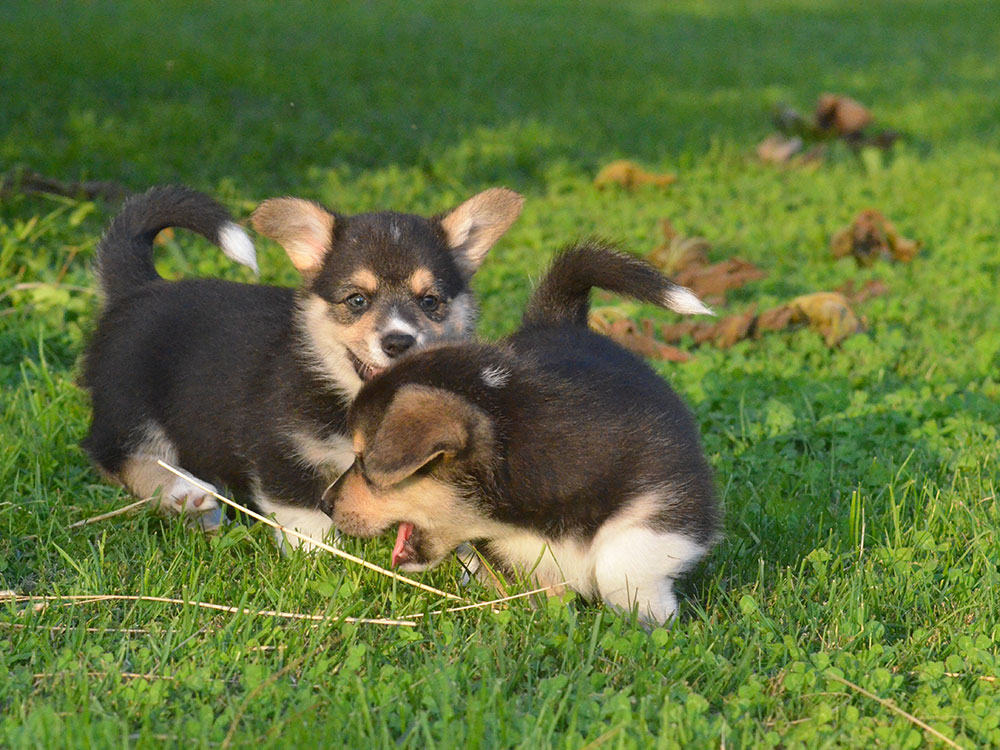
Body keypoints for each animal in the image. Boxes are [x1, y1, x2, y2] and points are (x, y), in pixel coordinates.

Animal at [82, 182, 524, 548]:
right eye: (357, 300)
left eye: (429, 301)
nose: (398, 341)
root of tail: (140, 287)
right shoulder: (278, 449)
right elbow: (309, 518)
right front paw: (326, 560)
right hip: (129, 403)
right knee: (115, 455)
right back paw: (183, 492)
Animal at [324, 244, 724, 624]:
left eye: (362, 459)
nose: (326, 504)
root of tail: (558, 320)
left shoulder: (672, 499)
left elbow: (621, 560)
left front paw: (649, 616)